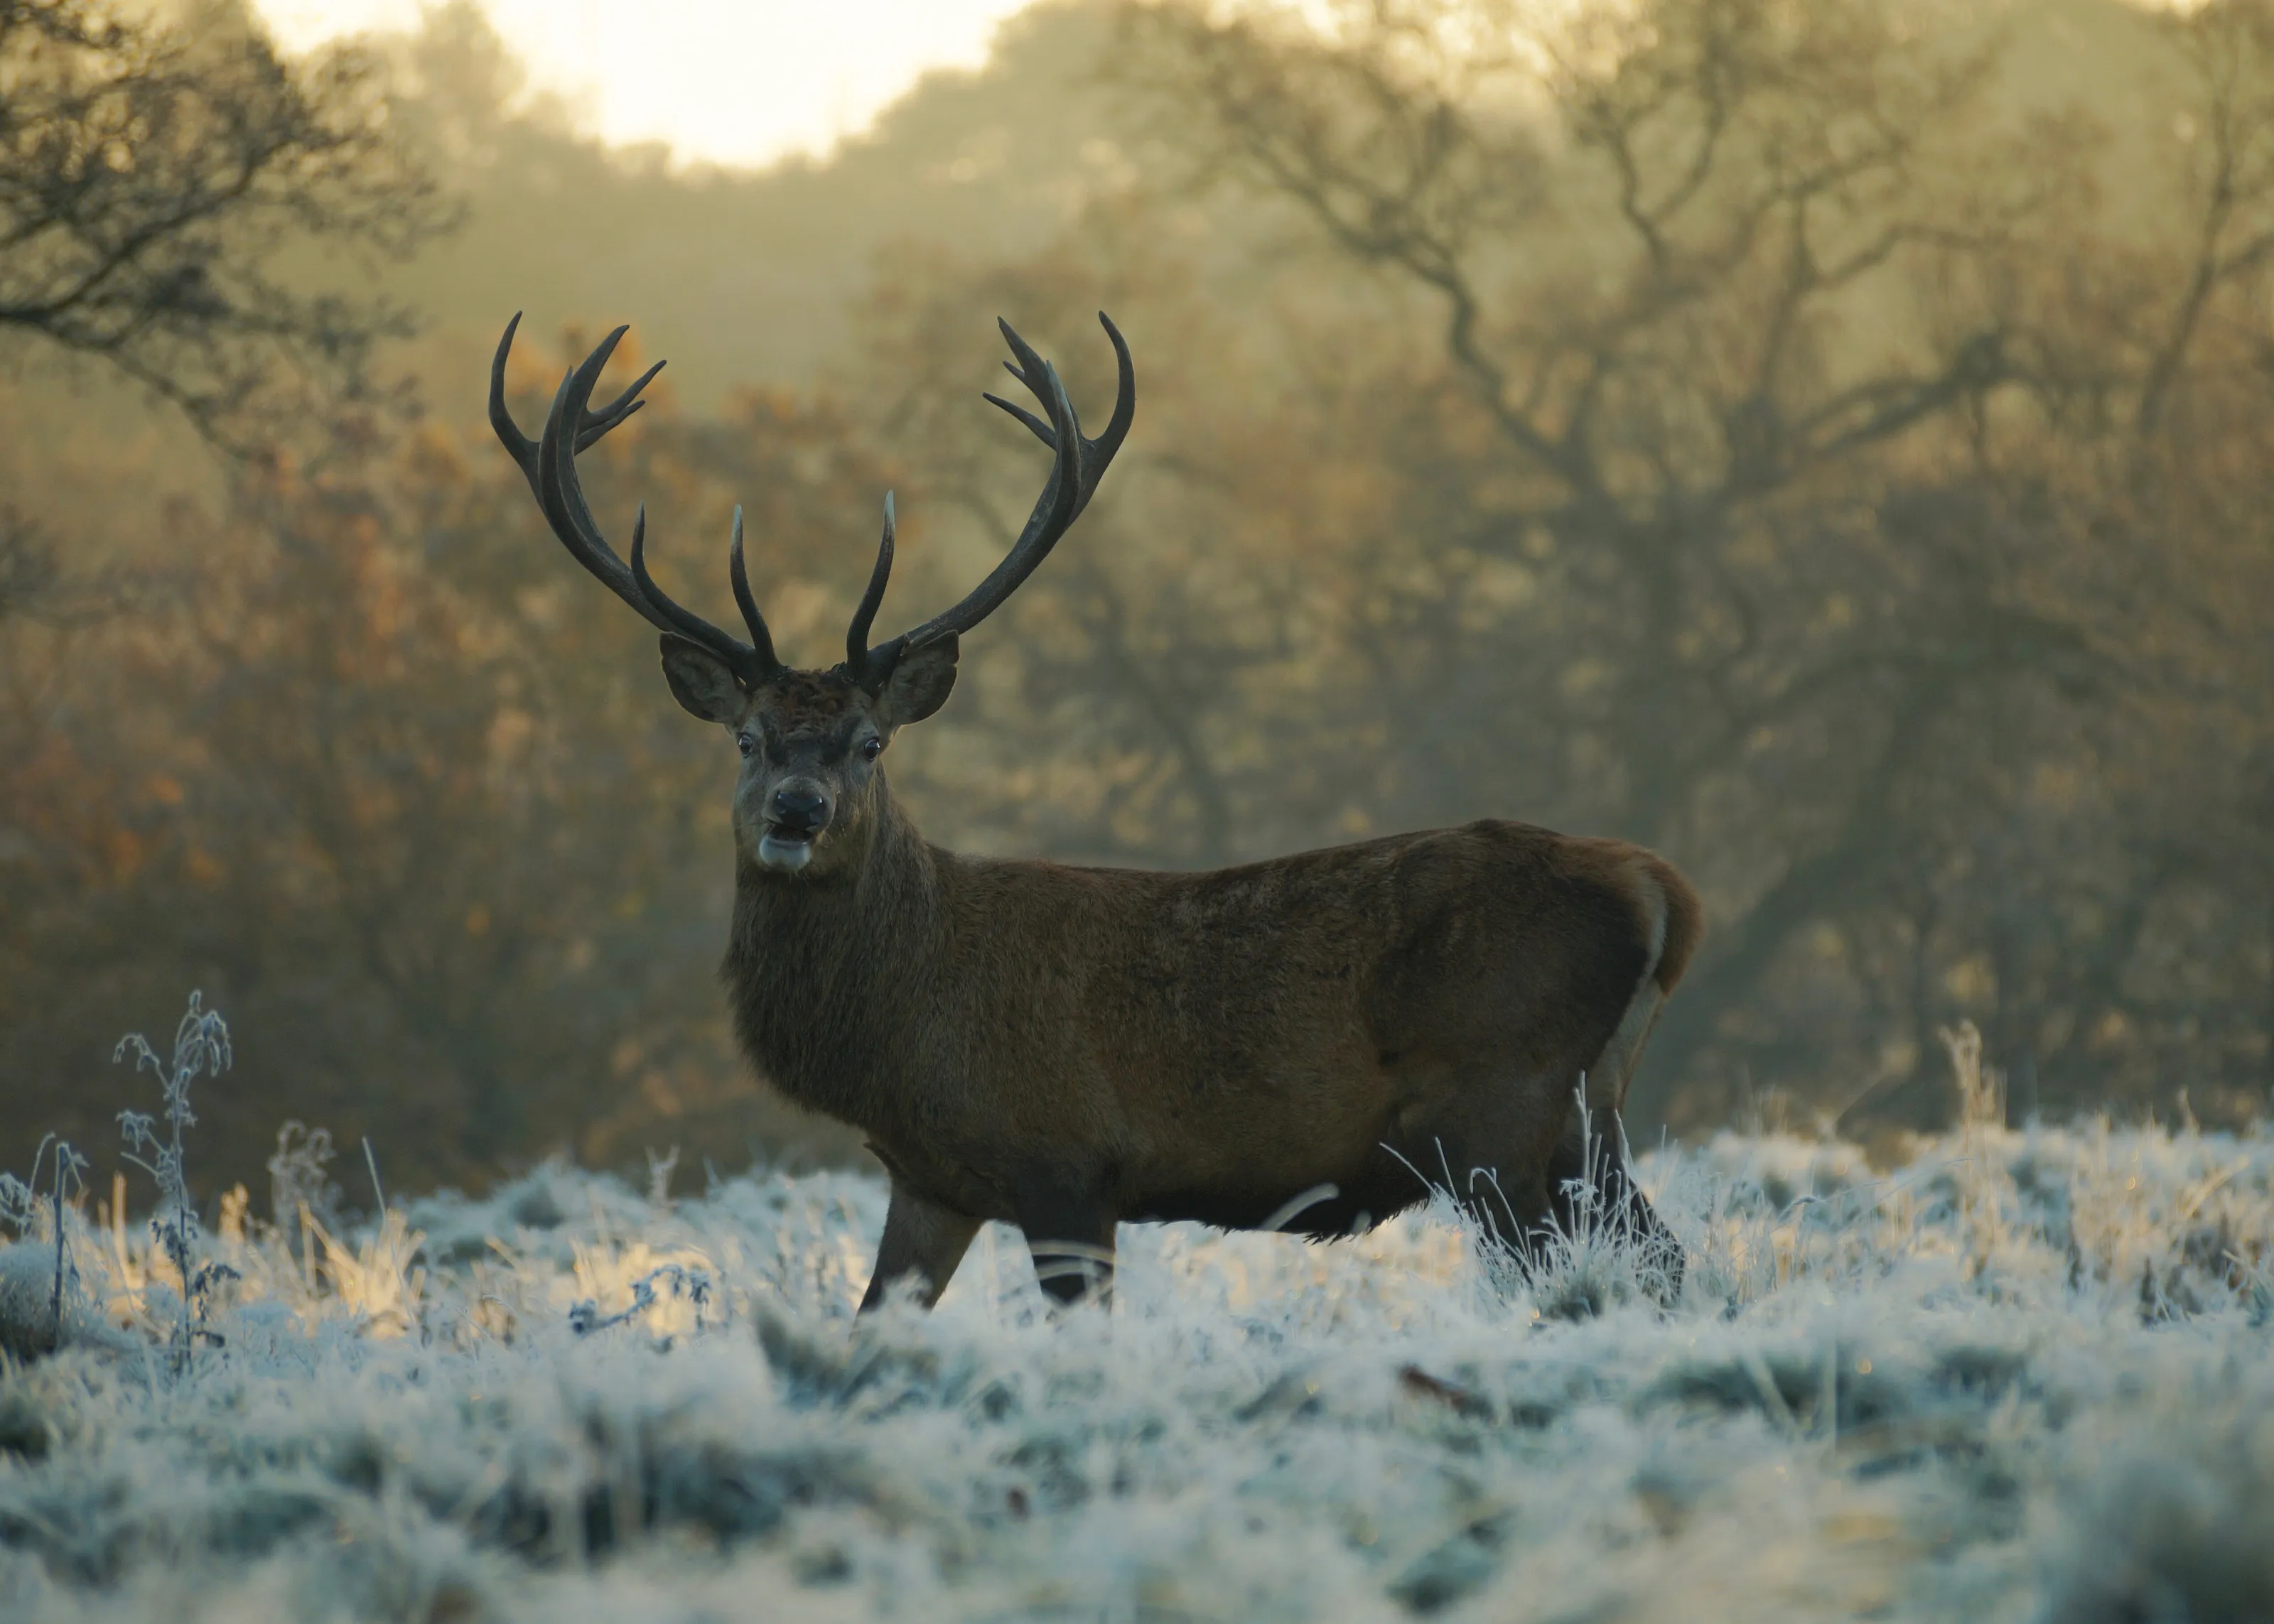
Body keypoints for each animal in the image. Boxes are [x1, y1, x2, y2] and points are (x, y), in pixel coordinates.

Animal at [489, 310, 1702, 1313]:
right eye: (746, 738)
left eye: (871, 744)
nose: (797, 808)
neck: (898, 1025)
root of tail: (1663, 889)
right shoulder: (931, 1178)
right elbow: (873, 1322)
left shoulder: (1066, 1162)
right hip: (1583, 1116)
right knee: (1665, 1257)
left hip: (1502, 1106)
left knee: (1602, 1264)